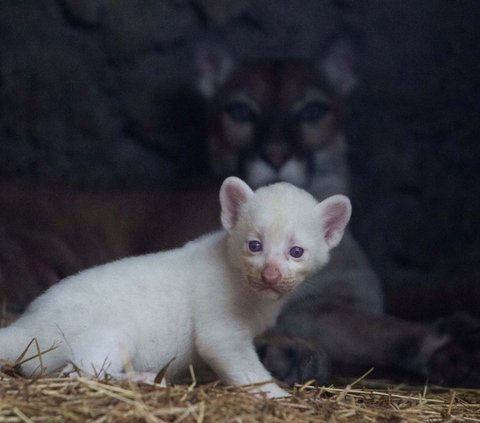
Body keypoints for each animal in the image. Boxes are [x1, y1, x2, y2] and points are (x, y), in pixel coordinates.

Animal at [0, 177, 352, 400]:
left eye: (297, 252)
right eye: (255, 245)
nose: (270, 274)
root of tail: (25, 326)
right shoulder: (221, 333)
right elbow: (248, 371)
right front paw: (279, 395)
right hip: (108, 338)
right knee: (79, 374)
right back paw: (144, 379)